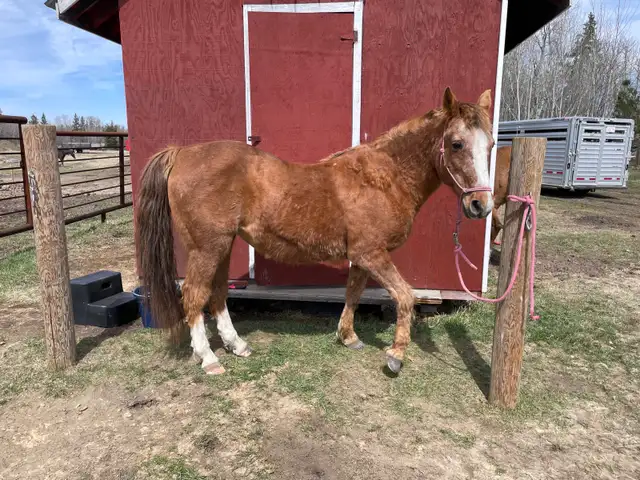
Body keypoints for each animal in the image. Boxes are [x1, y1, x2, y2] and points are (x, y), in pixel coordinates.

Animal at [135, 87, 495, 375]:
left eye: (491, 144)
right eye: (456, 143)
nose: (481, 205)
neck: (383, 178)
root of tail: (182, 153)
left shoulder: (362, 256)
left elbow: (353, 293)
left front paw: (348, 337)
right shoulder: (372, 254)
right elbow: (406, 297)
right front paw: (395, 355)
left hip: (222, 247)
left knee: (218, 294)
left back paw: (237, 345)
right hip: (207, 248)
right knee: (194, 295)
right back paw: (209, 358)